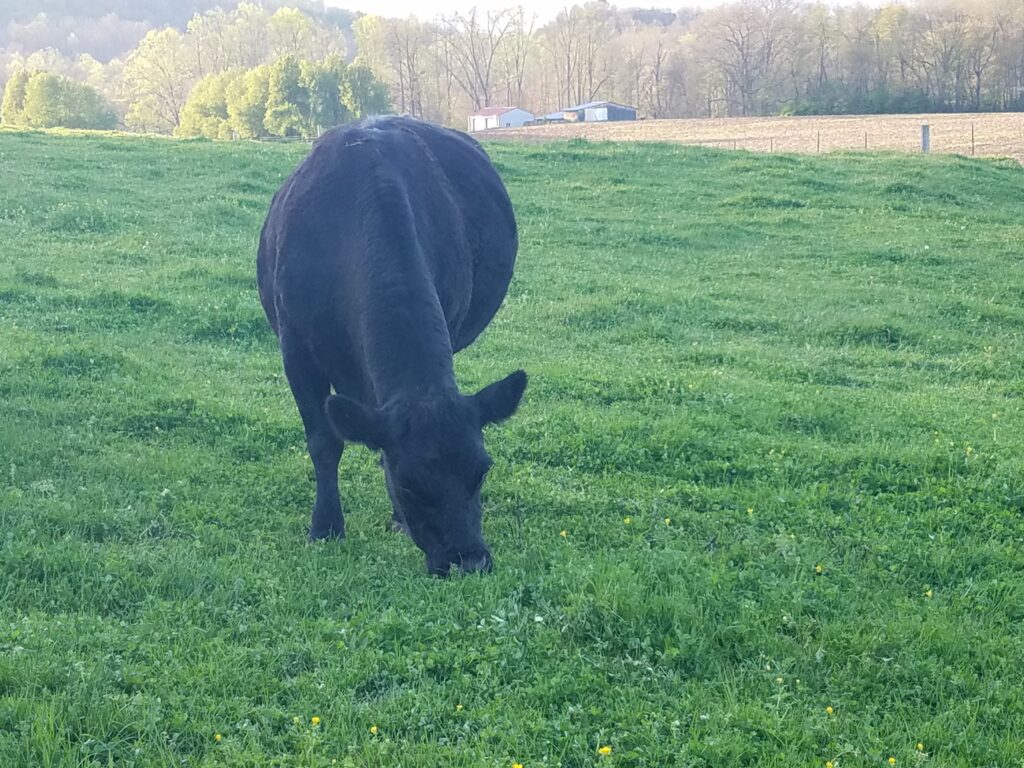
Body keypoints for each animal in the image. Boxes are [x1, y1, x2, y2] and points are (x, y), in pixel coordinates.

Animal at [256, 115, 528, 577]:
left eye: (482, 471)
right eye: (409, 483)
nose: (469, 561)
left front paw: (396, 519)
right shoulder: (296, 350)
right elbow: (324, 441)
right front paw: (325, 527)